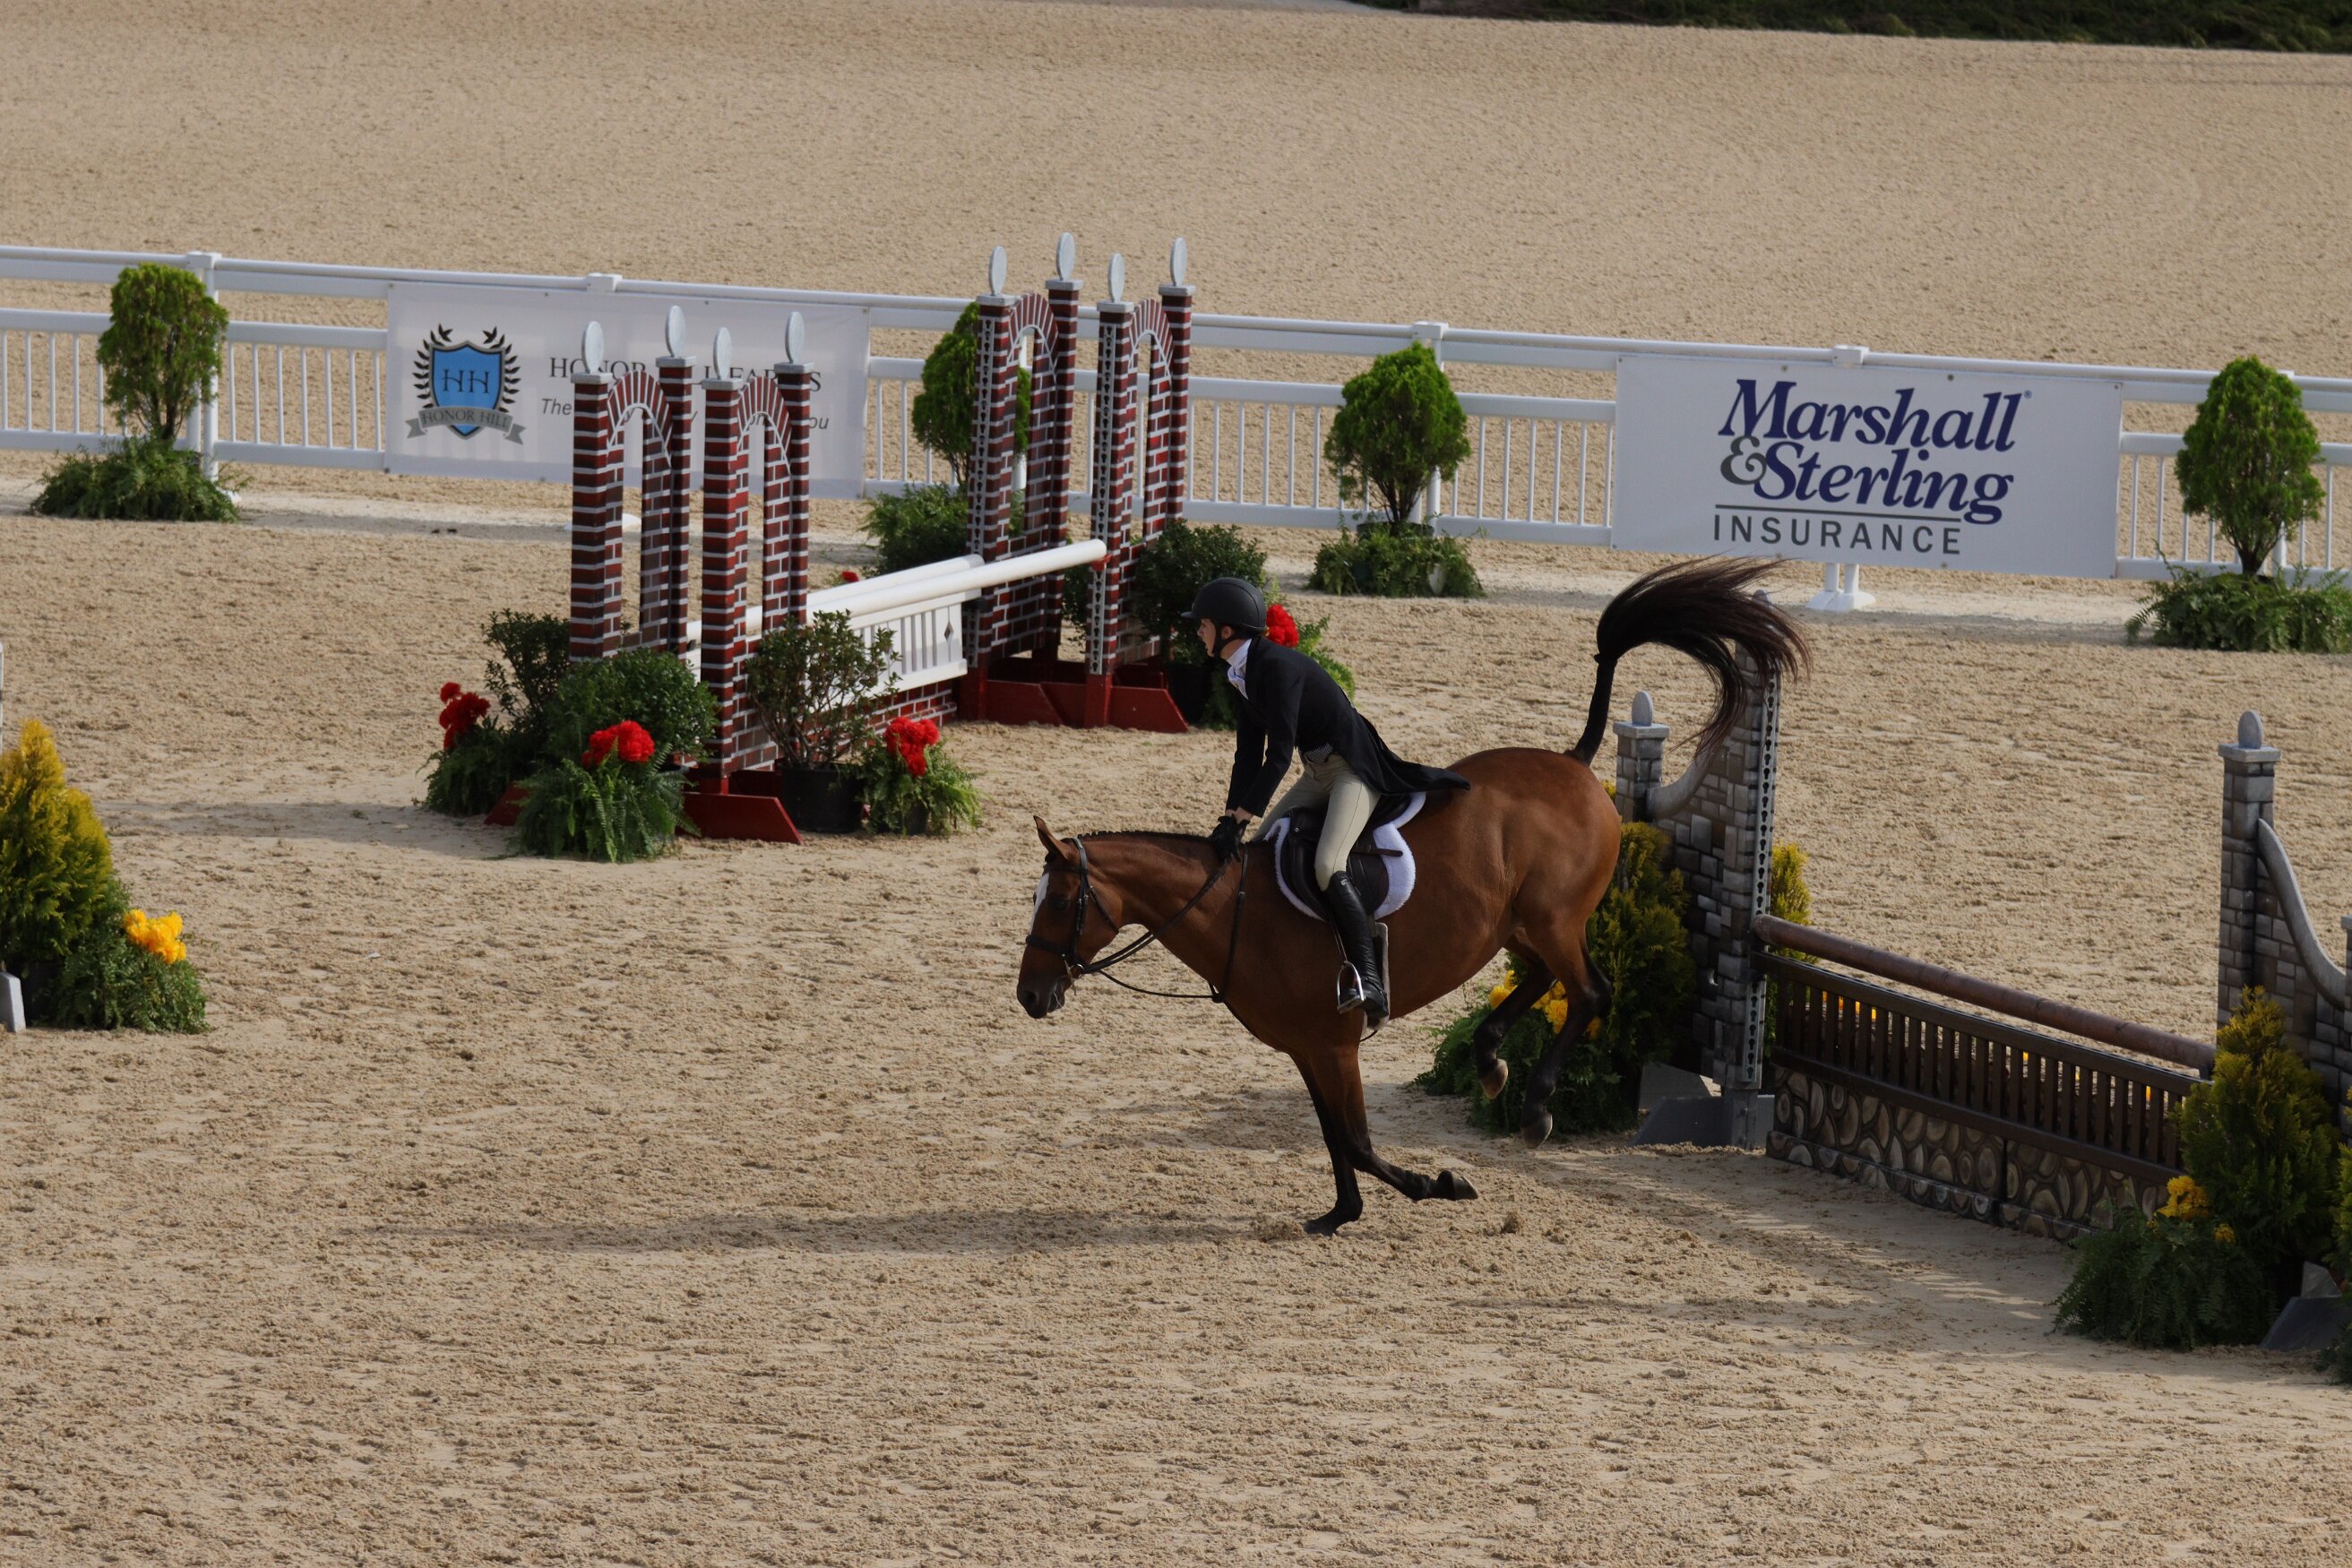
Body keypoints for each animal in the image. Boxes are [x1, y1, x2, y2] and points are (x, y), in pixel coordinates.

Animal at [1017, 557, 1809, 1235]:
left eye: (1058, 904)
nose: (1028, 997)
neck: (1234, 910)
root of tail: (1575, 765)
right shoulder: (1307, 1047)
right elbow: (1335, 1137)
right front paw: (1339, 1214)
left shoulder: (1334, 1042)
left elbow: (1359, 1141)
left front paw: (1442, 1185)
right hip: (1513, 925)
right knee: (1540, 979)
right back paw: (1489, 1062)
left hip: (1553, 917)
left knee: (1590, 990)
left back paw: (1534, 1108)